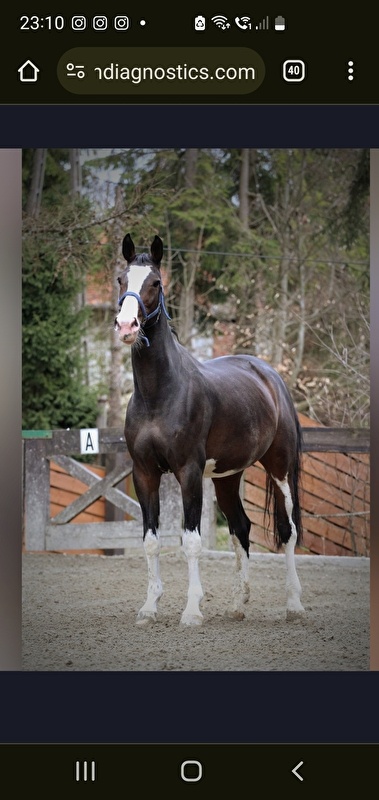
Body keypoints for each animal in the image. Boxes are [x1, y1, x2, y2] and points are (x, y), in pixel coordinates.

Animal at [114, 234, 304, 628]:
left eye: (156, 283)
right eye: (121, 280)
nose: (126, 327)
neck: (159, 394)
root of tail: (270, 376)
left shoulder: (188, 472)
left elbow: (191, 542)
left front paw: (191, 611)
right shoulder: (144, 473)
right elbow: (151, 541)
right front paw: (149, 608)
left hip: (280, 468)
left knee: (288, 530)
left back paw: (294, 605)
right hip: (227, 477)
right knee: (241, 528)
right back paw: (237, 604)